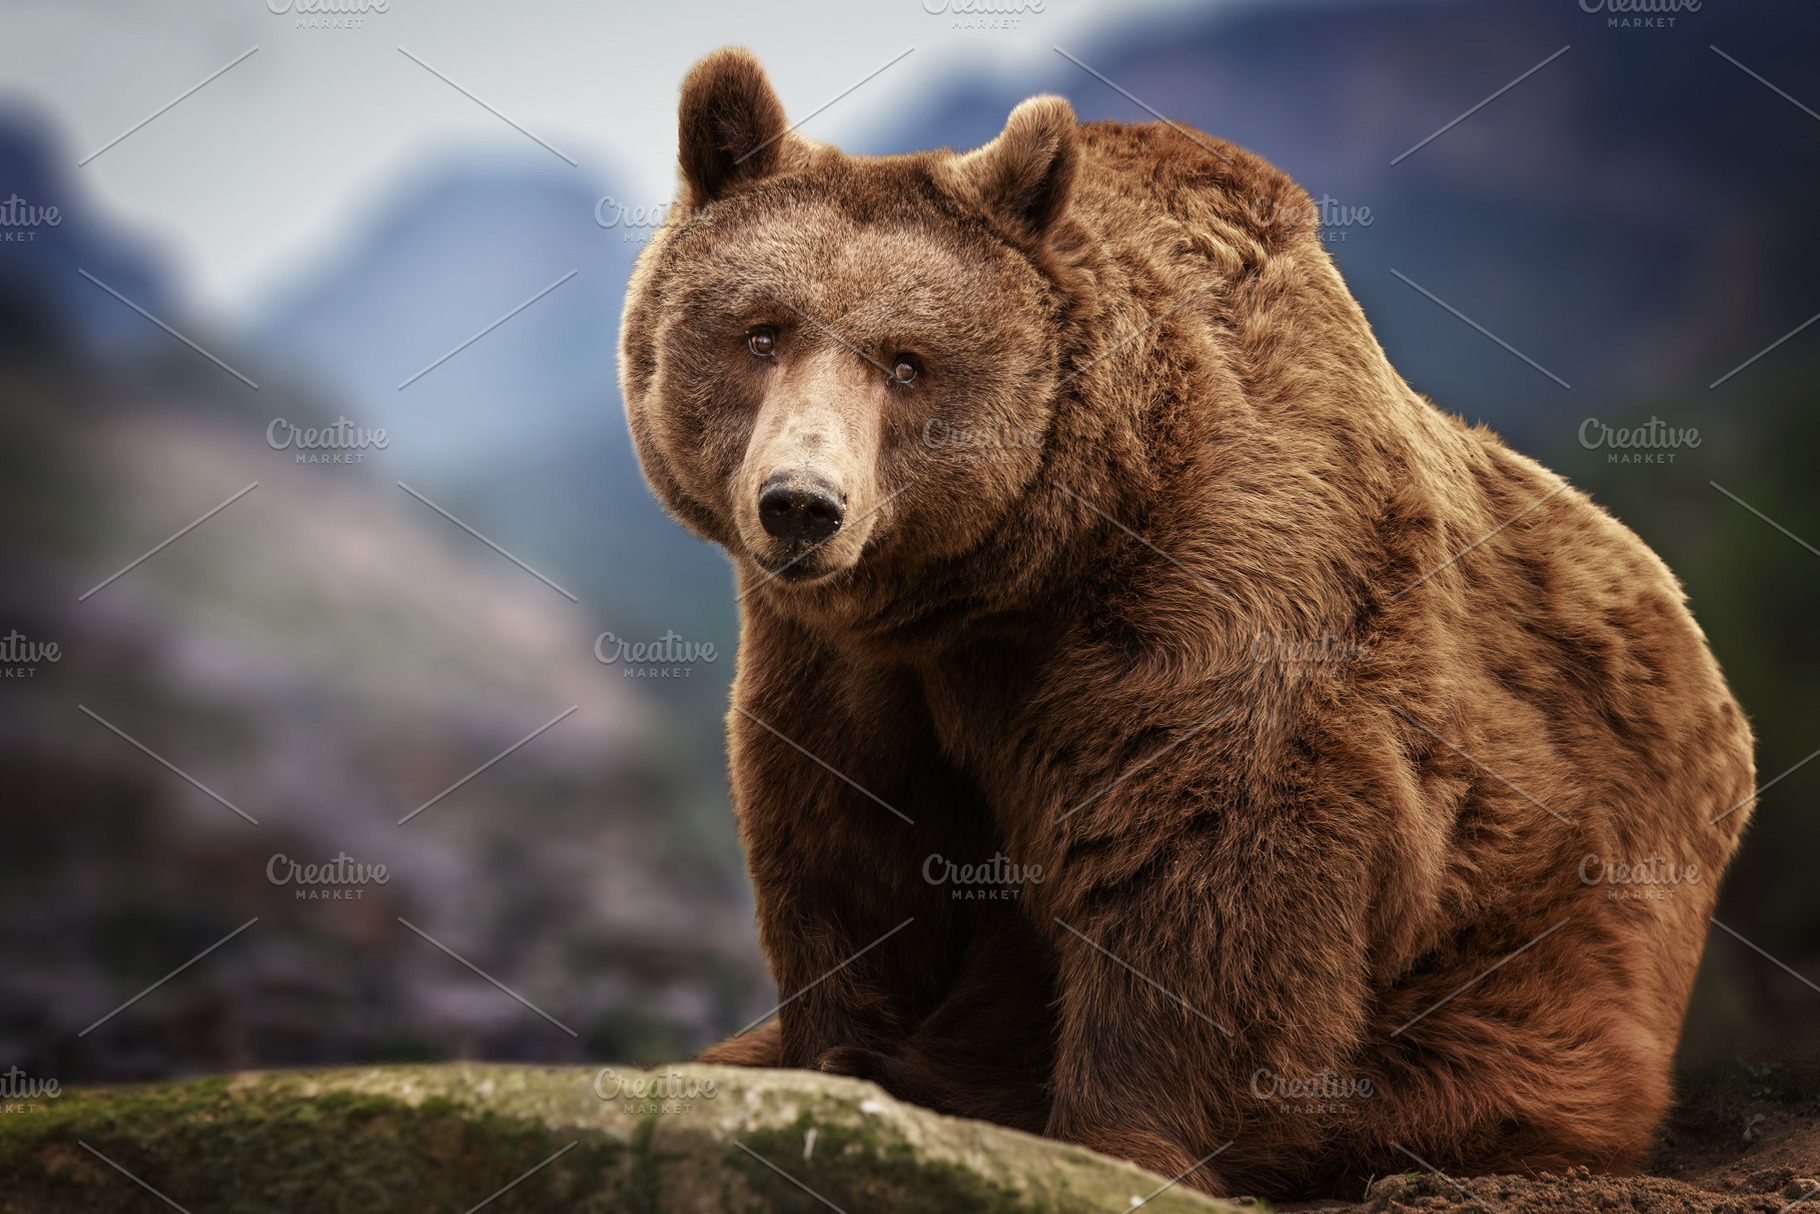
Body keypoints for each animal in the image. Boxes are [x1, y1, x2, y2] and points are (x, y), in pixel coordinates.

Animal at [618, 46, 1758, 1200]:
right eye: (761, 331)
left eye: (906, 361)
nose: (801, 504)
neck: (1013, 568)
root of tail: (1719, 698)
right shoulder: (843, 660)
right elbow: (848, 842)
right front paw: (837, 1058)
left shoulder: (1210, 580)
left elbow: (1206, 851)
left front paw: (1120, 1134)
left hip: (1544, 929)